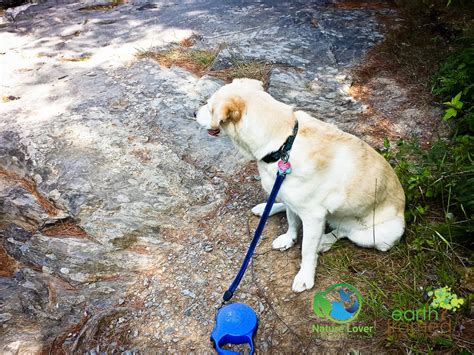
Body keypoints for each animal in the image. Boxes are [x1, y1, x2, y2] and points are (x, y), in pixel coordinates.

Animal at [194, 78, 406, 292]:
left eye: (209, 107)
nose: (194, 113)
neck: (282, 145)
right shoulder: (290, 198)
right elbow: (292, 222)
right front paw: (289, 238)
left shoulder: (314, 217)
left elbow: (307, 251)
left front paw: (305, 275)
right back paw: (265, 209)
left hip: (377, 236)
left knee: (345, 232)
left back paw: (325, 241)